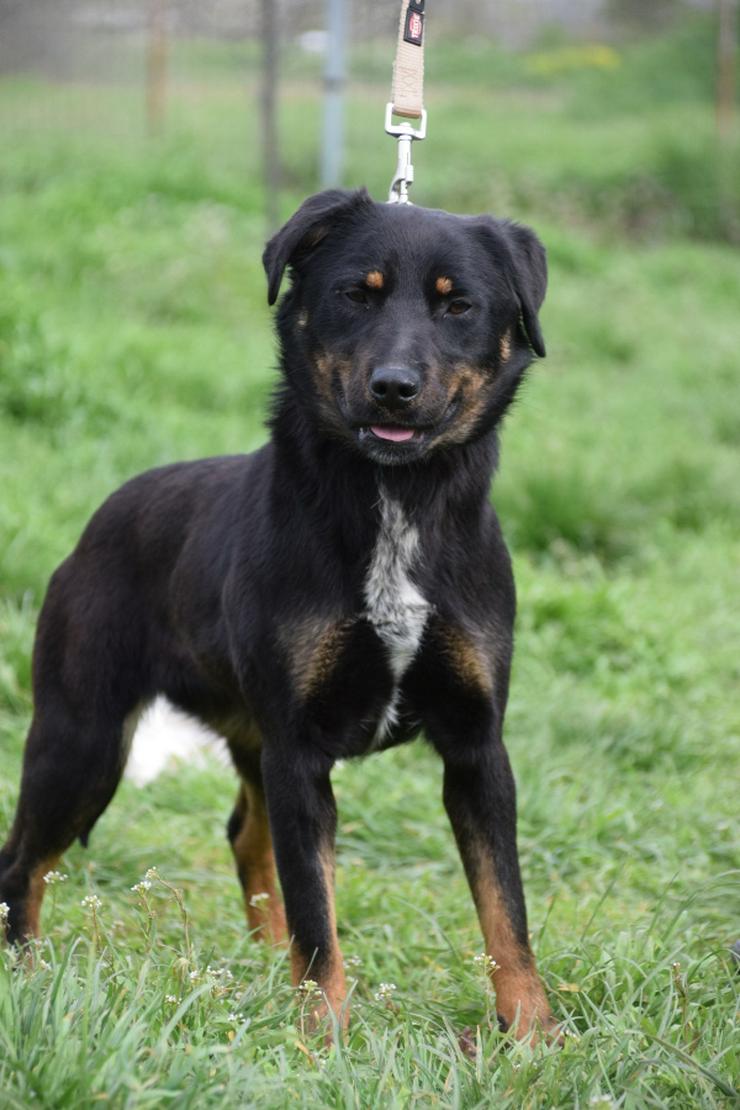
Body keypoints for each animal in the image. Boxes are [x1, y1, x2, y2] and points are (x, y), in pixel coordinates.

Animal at [0, 188, 554, 1038]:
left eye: (457, 305)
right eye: (356, 295)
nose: (394, 386)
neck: (393, 501)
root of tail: (99, 522)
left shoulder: (475, 746)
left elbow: (506, 908)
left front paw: (533, 1032)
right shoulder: (300, 749)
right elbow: (318, 912)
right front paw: (323, 1036)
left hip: (237, 739)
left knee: (244, 834)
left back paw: (264, 959)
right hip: (82, 742)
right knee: (22, 860)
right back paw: (24, 975)